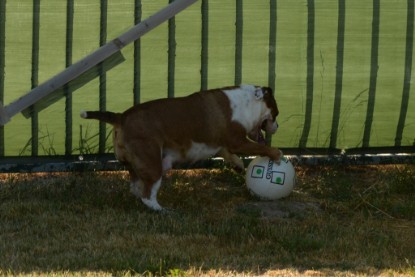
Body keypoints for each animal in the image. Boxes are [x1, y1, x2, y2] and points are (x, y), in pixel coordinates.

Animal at [80, 83, 282, 209]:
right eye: (276, 113)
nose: (277, 126)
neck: (248, 103)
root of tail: (121, 117)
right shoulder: (237, 140)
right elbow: (261, 148)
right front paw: (277, 154)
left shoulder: (222, 143)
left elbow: (227, 152)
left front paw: (238, 165)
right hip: (153, 162)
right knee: (147, 195)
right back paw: (162, 210)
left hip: (137, 163)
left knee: (136, 186)